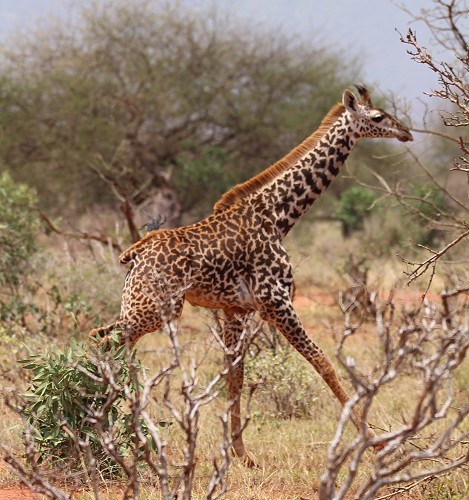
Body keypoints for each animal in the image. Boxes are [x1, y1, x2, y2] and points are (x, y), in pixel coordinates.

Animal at [89, 85, 412, 464]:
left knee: (105, 341)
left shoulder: (236, 309)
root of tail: (135, 254)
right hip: (156, 308)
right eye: (378, 117)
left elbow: (235, 377)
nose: (406, 132)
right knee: (104, 341)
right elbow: (322, 361)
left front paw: (241, 454)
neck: (279, 216)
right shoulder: (276, 301)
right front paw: (372, 438)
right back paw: (116, 435)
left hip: (140, 305)